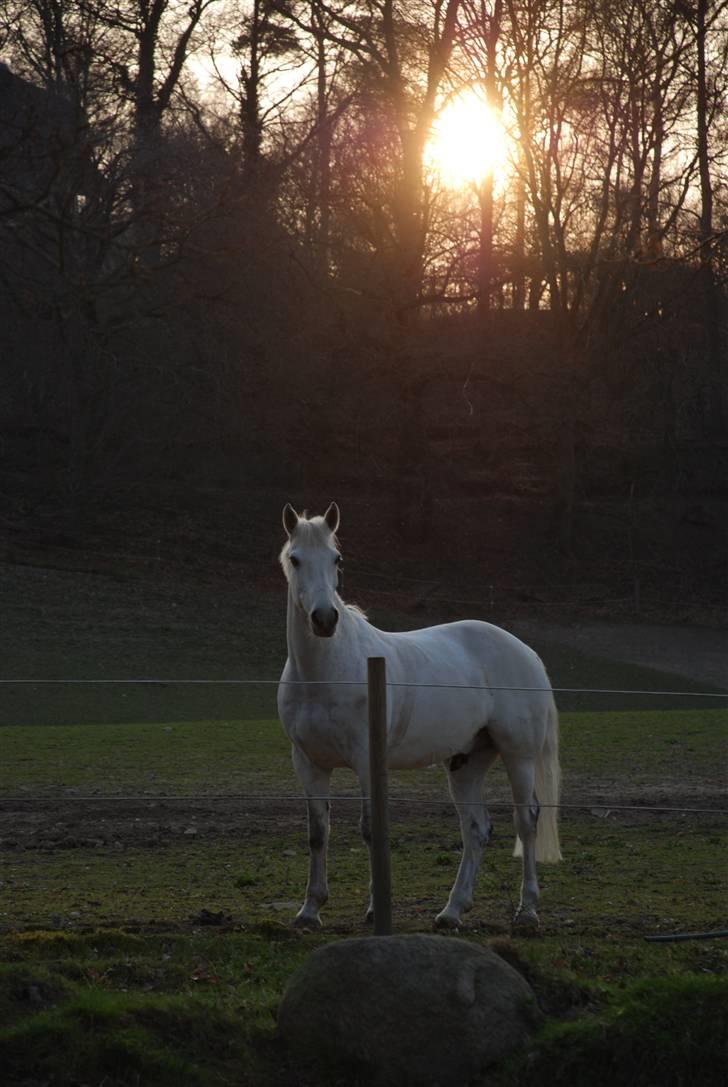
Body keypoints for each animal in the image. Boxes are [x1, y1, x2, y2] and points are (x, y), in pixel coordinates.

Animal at [277, 504, 560, 930]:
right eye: (295, 559)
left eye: (336, 558)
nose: (325, 620)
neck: (326, 672)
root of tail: (525, 651)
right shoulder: (309, 763)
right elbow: (318, 832)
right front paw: (310, 910)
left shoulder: (366, 762)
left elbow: (370, 830)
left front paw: (374, 910)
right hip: (466, 763)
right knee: (476, 829)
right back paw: (452, 910)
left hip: (519, 756)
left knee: (526, 821)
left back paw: (526, 910)